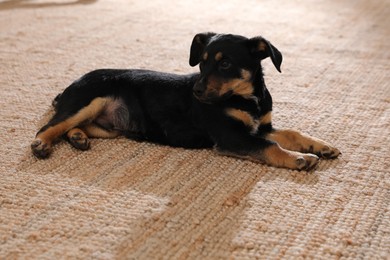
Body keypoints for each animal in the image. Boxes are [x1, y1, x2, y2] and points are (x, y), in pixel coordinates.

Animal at [32, 32, 340, 170]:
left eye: (225, 63)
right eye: (201, 63)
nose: (197, 92)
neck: (246, 98)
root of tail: (68, 87)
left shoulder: (260, 126)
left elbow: (290, 133)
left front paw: (321, 146)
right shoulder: (231, 136)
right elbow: (270, 146)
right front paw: (300, 158)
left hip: (109, 127)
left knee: (72, 126)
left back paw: (78, 138)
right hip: (89, 99)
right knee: (50, 125)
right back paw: (42, 144)